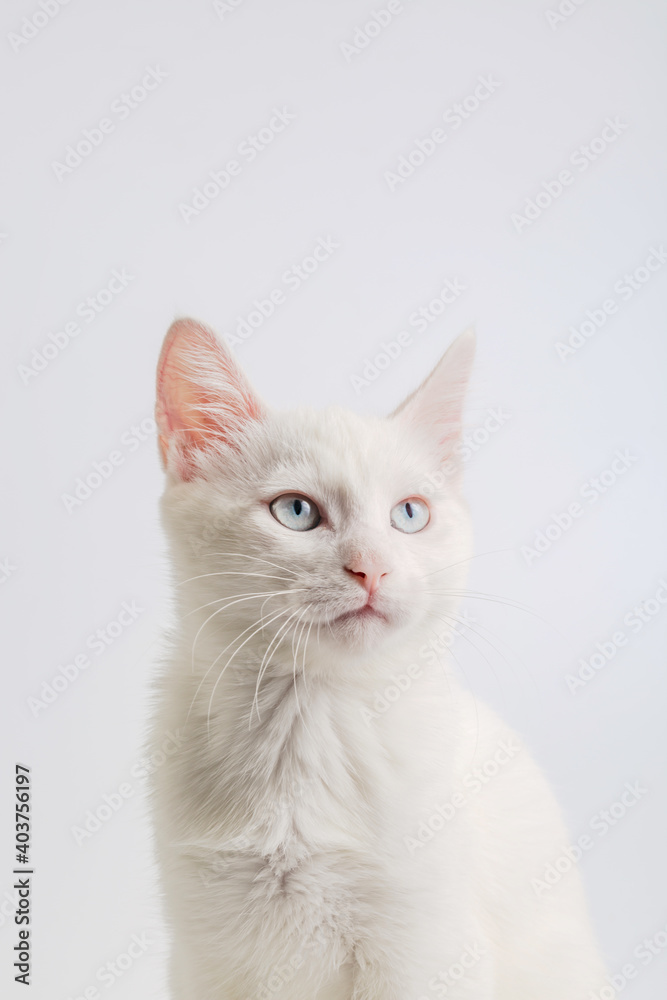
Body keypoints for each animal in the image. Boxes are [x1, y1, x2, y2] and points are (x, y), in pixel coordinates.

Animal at [151, 320, 612, 1000]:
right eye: (295, 511)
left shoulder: (429, 951)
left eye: (410, 514)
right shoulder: (207, 958)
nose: (372, 568)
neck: (308, 727)